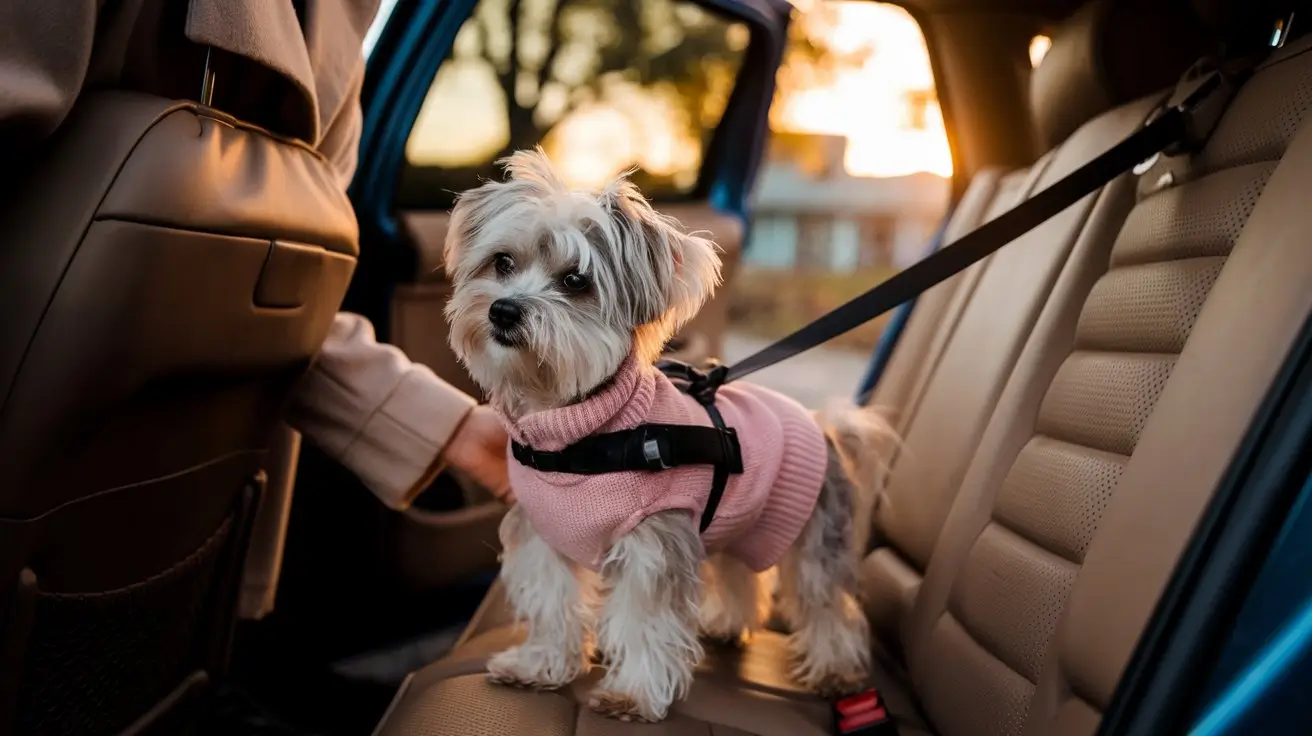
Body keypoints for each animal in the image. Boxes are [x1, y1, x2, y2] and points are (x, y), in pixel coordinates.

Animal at [448, 147, 892, 718]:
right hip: (737, 524)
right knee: (737, 571)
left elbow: (644, 620)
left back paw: (837, 670)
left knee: (827, 602)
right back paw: (726, 623)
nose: (503, 310)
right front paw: (539, 665)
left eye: (575, 281)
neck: (578, 434)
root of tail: (819, 423)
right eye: (502, 263)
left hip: (816, 534)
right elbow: (551, 603)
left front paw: (632, 692)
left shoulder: (653, 543)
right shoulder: (544, 537)